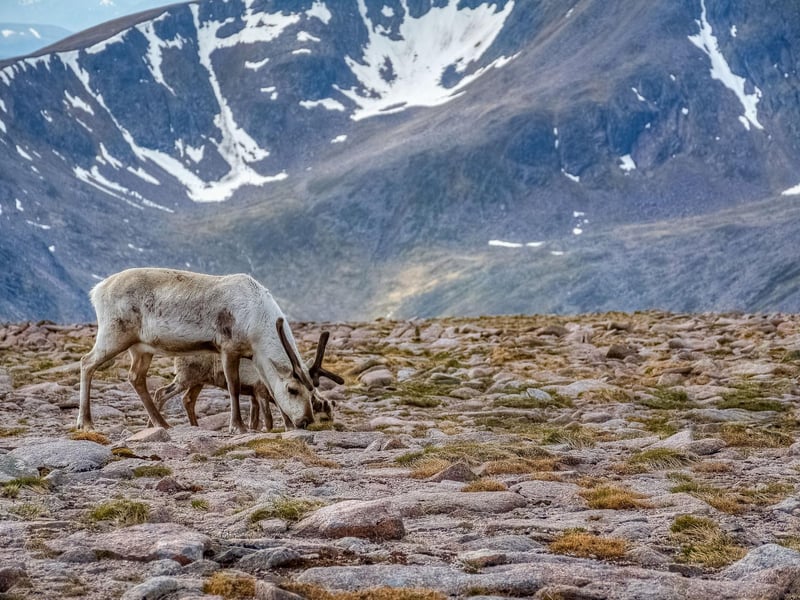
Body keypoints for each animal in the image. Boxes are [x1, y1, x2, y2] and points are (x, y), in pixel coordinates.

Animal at [153, 332, 342, 431]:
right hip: (186, 377)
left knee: (188, 400)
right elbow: (269, 419)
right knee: (161, 392)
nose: (308, 423)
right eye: (326, 416)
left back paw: (194, 426)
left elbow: (256, 420)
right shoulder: (260, 391)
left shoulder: (253, 395)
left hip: (199, 381)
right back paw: (158, 424)